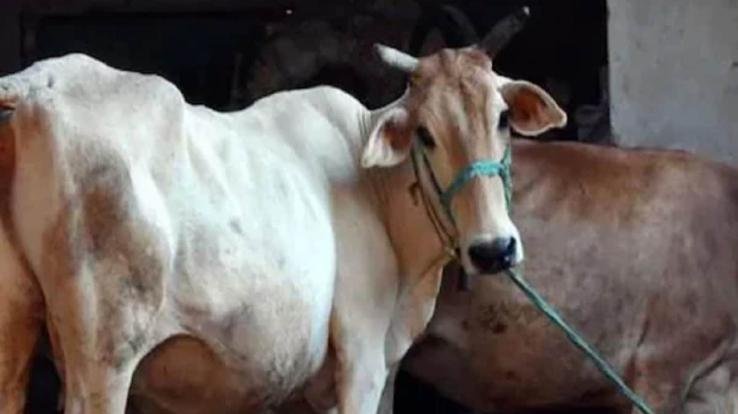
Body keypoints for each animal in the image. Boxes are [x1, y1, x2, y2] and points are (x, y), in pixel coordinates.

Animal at [0, 33, 565, 414]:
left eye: (502, 118)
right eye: (424, 133)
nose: (494, 249)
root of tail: (33, 86)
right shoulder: (362, 359)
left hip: (14, 337)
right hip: (104, 358)